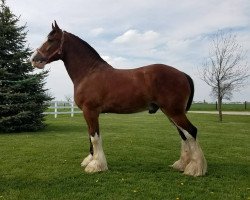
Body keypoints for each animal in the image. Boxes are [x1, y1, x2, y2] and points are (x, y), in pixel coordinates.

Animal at [30, 20, 207, 177]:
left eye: (50, 39)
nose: (33, 59)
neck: (89, 73)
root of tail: (182, 74)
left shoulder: (90, 111)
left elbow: (94, 137)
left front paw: (96, 165)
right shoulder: (88, 113)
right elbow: (90, 136)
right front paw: (90, 160)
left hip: (174, 112)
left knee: (191, 131)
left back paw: (195, 169)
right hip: (171, 113)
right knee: (183, 135)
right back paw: (182, 164)